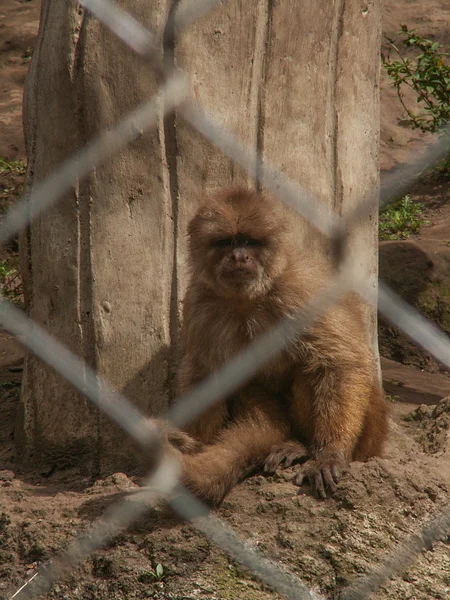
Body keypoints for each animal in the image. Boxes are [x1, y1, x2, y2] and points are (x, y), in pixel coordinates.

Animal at [160, 186, 388, 506]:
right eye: (226, 242)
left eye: (249, 242)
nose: (238, 257)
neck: (247, 301)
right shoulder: (199, 303)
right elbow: (203, 372)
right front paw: (194, 445)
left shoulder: (301, 290)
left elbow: (340, 363)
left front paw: (330, 453)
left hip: (370, 436)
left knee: (314, 368)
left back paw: (303, 445)